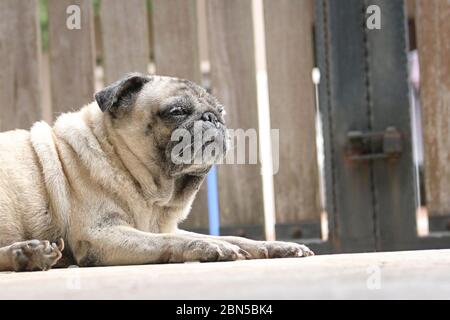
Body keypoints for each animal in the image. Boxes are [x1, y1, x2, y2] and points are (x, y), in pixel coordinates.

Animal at [0, 74, 312, 272]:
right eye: (177, 111)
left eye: (221, 111)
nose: (213, 118)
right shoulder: (101, 234)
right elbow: (170, 241)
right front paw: (208, 245)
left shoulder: (162, 226)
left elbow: (238, 238)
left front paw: (275, 246)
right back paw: (27, 255)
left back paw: (26, 255)